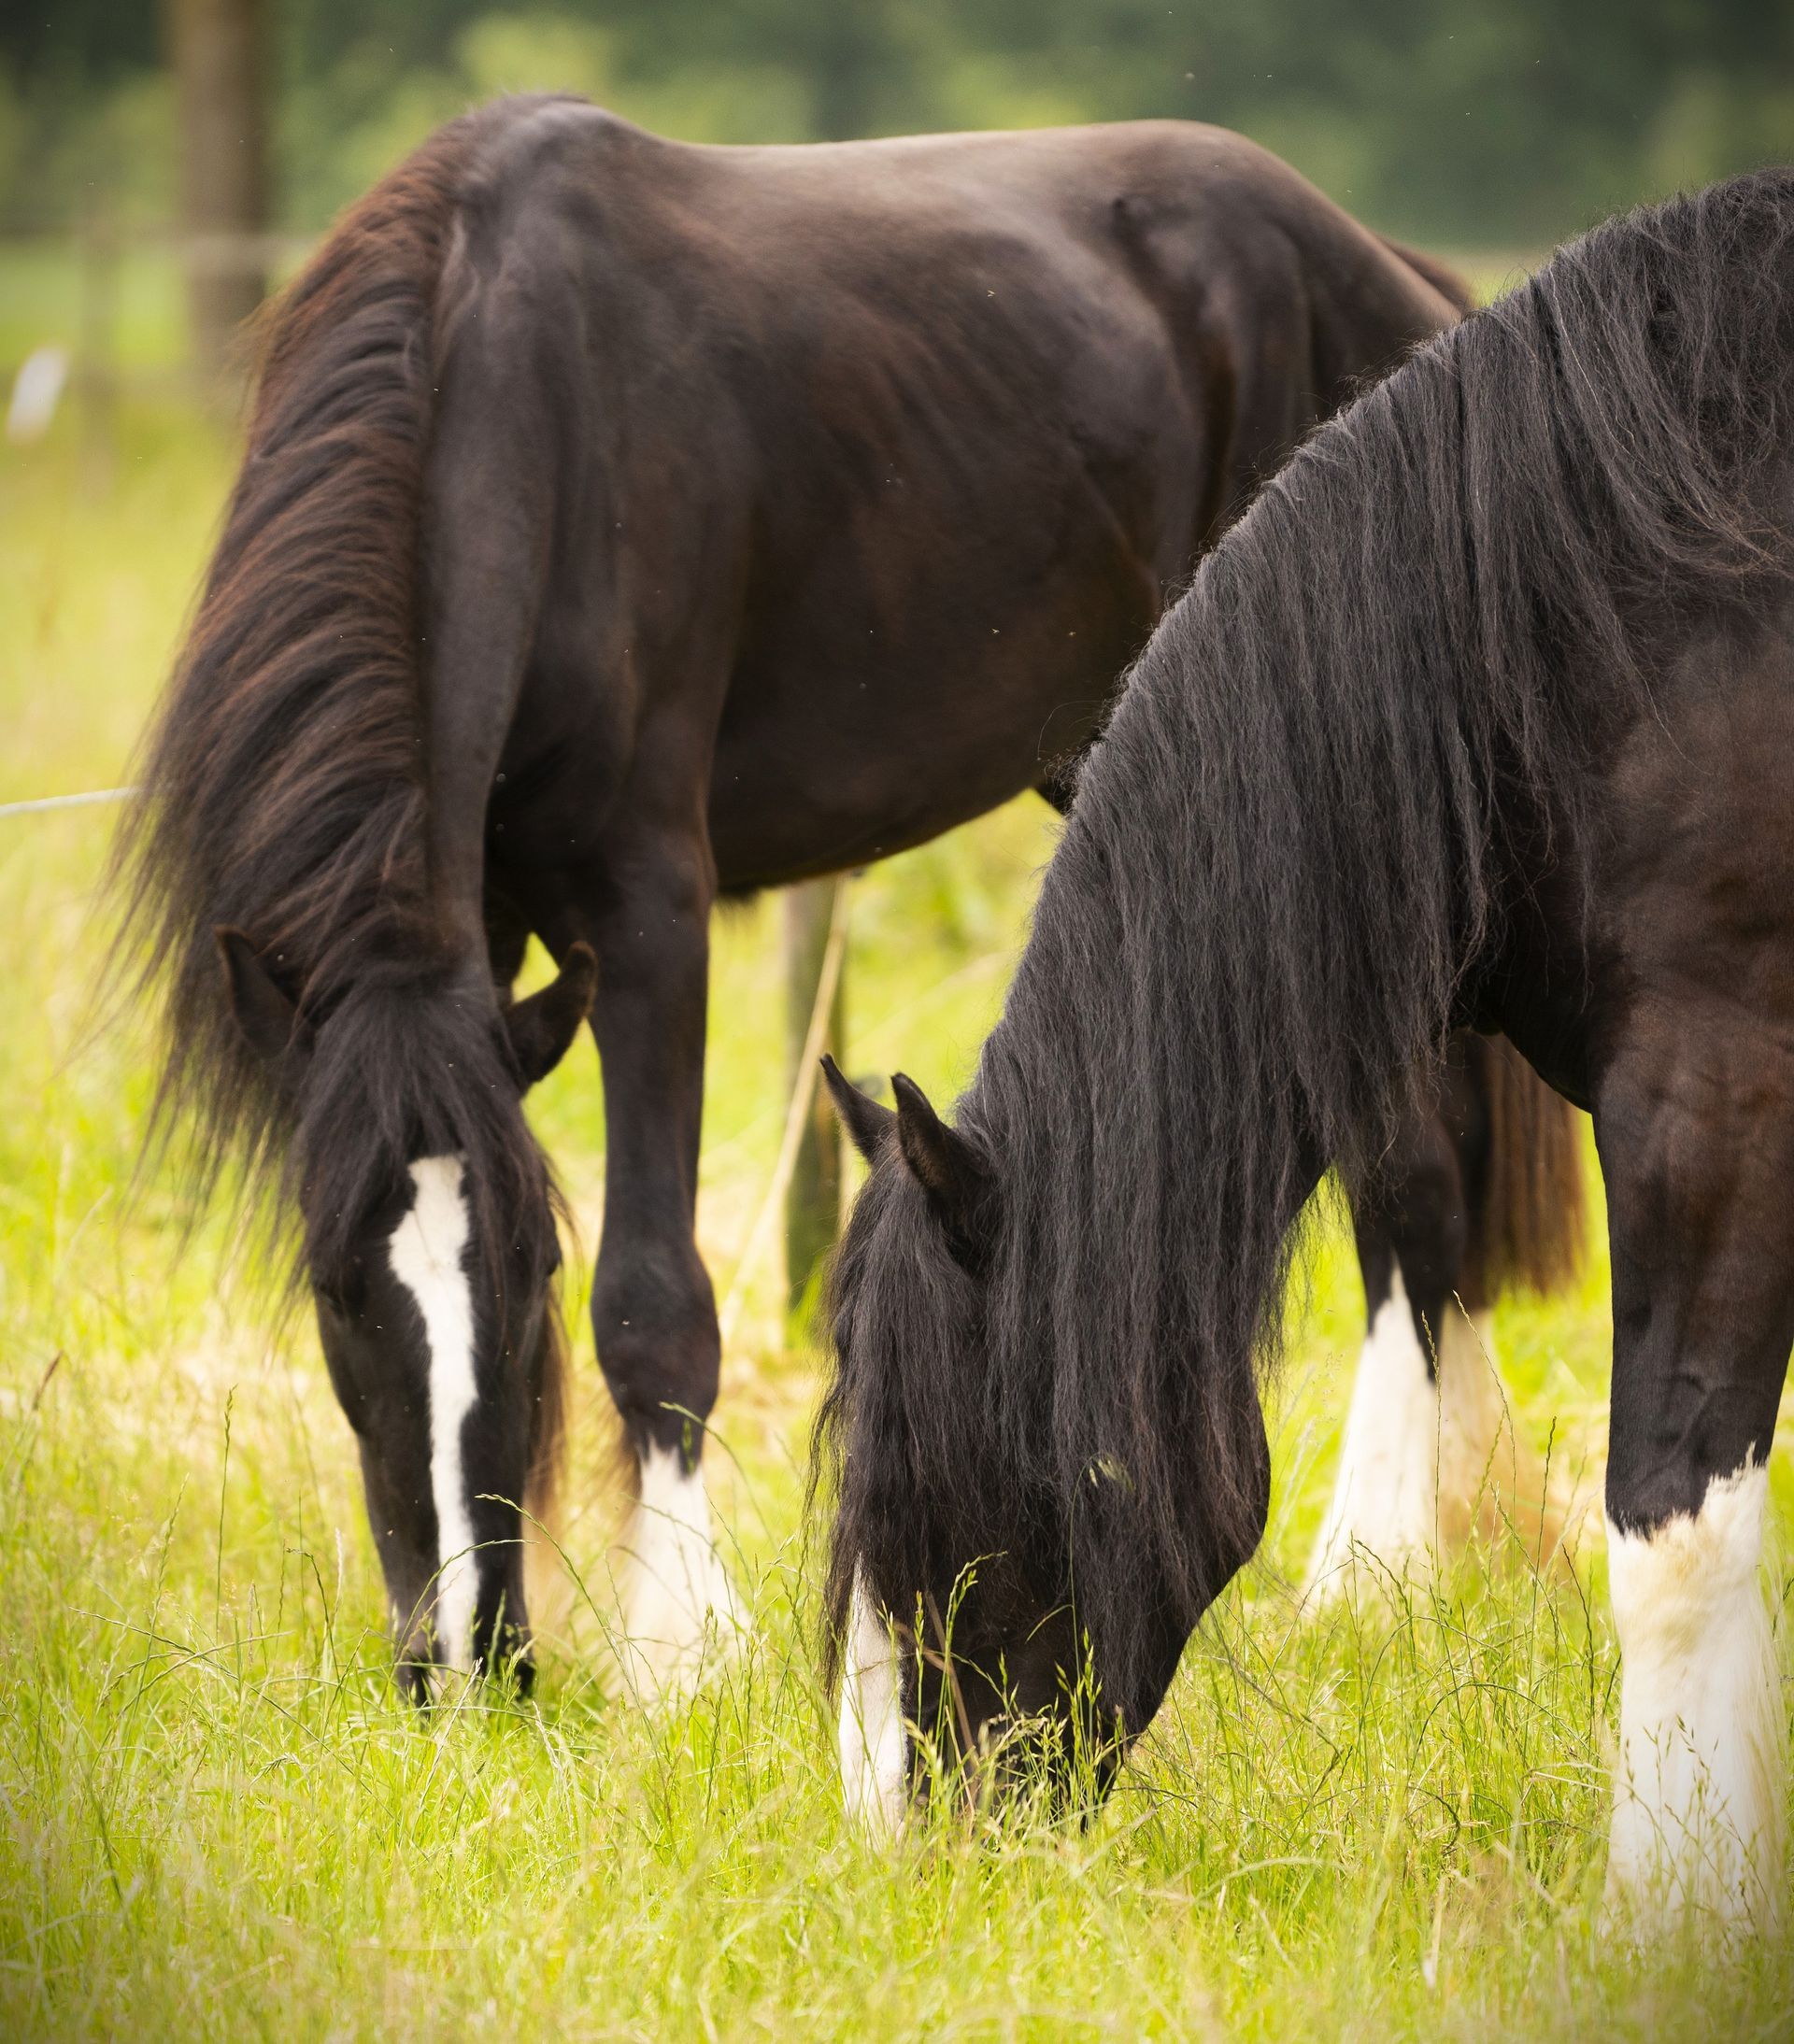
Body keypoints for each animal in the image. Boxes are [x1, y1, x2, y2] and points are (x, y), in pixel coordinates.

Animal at [116, 89, 1552, 1702]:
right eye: (335, 1285)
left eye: (530, 1259)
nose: (466, 1662)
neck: (516, 393)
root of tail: (1394, 275)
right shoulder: (469, 935)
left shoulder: (645, 910)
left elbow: (653, 1299)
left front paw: (680, 1643)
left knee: (1414, 1183)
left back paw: (1374, 1564)